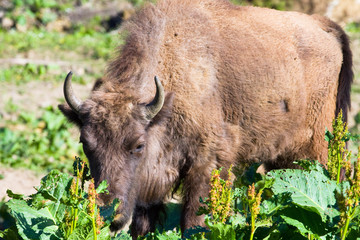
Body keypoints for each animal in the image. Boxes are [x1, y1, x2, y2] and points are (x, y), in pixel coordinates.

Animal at [58, 0, 352, 237]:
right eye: (85, 143)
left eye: (138, 145)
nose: (109, 215)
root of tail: (324, 26)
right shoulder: (148, 191)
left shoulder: (208, 164)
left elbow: (194, 221)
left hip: (318, 147)